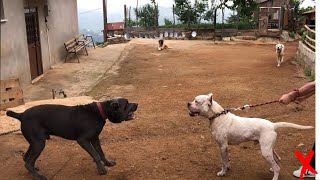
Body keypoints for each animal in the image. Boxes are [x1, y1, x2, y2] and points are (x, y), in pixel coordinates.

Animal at [186, 93, 314, 179]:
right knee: (277, 159)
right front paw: (228, 167)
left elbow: (223, 161)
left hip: (265, 151)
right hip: (269, 148)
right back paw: (272, 168)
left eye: (196, 101)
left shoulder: (222, 146)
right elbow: (227, 160)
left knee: (277, 167)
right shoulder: (225, 147)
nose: (187, 103)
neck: (218, 116)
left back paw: (274, 176)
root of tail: (272, 125)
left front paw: (222, 172)